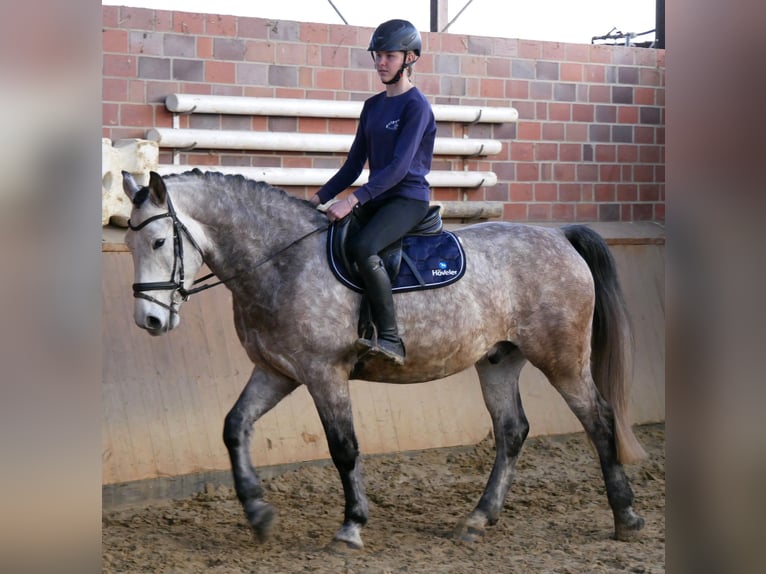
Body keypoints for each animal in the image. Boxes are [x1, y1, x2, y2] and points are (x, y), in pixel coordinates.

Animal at [121, 169, 646, 550]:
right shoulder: (277, 372)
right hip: (499, 360)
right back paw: (477, 519)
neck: (281, 262)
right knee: (512, 431)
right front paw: (258, 513)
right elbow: (234, 427)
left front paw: (351, 526)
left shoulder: (324, 373)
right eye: (128, 243)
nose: (149, 319)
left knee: (599, 419)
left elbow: (344, 447)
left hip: (562, 358)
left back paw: (625, 516)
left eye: (160, 242)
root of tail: (558, 235)